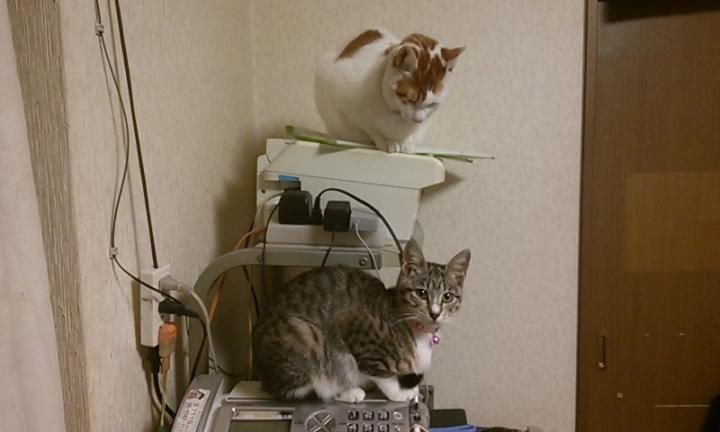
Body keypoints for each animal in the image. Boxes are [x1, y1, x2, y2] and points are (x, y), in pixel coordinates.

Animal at [252, 239, 471, 403]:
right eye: (421, 293)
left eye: (447, 296)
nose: (434, 313)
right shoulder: (355, 327)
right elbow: (382, 373)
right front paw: (399, 393)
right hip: (304, 337)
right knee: (302, 388)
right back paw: (347, 391)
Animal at [315, 29, 464, 154]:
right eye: (411, 99)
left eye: (432, 104)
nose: (418, 120)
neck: (397, 117)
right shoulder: (343, 102)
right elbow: (370, 127)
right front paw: (387, 141)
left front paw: (406, 143)